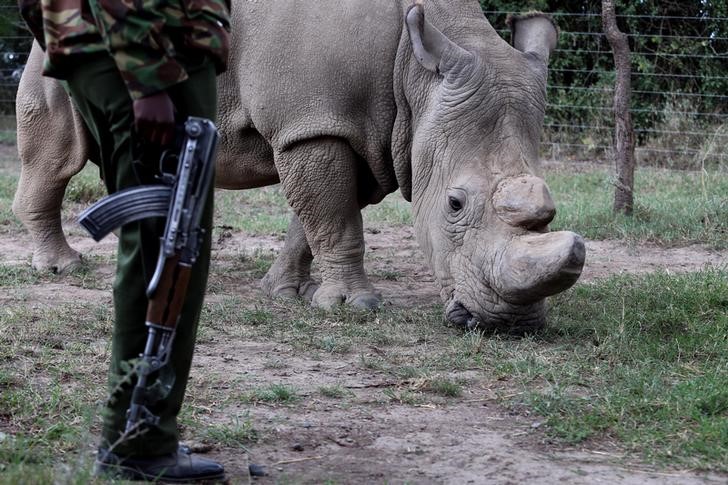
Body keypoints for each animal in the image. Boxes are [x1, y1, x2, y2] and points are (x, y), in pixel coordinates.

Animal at [12, 0, 584, 330]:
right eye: (455, 204)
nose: (509, 324)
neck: (418, 74)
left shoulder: (357, 132)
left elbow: (316, 219)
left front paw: (288, 292)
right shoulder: (315, 122)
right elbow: (335, 218)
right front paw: (353, 307)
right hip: (53, 48)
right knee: (58, 159)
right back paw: (63, 267)